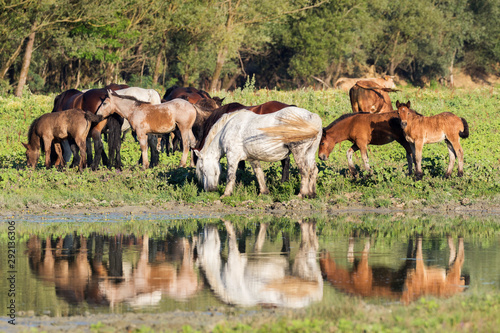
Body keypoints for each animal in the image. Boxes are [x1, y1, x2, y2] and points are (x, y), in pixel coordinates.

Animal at [193, 107, 322, 198]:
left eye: (203, 169)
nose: (209, 190)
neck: (227, 128)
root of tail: (311, 116)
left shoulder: (232, 157)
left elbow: (230, 176)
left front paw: (226, 194)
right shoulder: (252, 158)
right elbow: (259, 174)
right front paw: (264, 192)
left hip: (298, 152)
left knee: (304, 171)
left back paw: (301, 194)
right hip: (309, 153)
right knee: (313, 170)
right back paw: (312, 194)